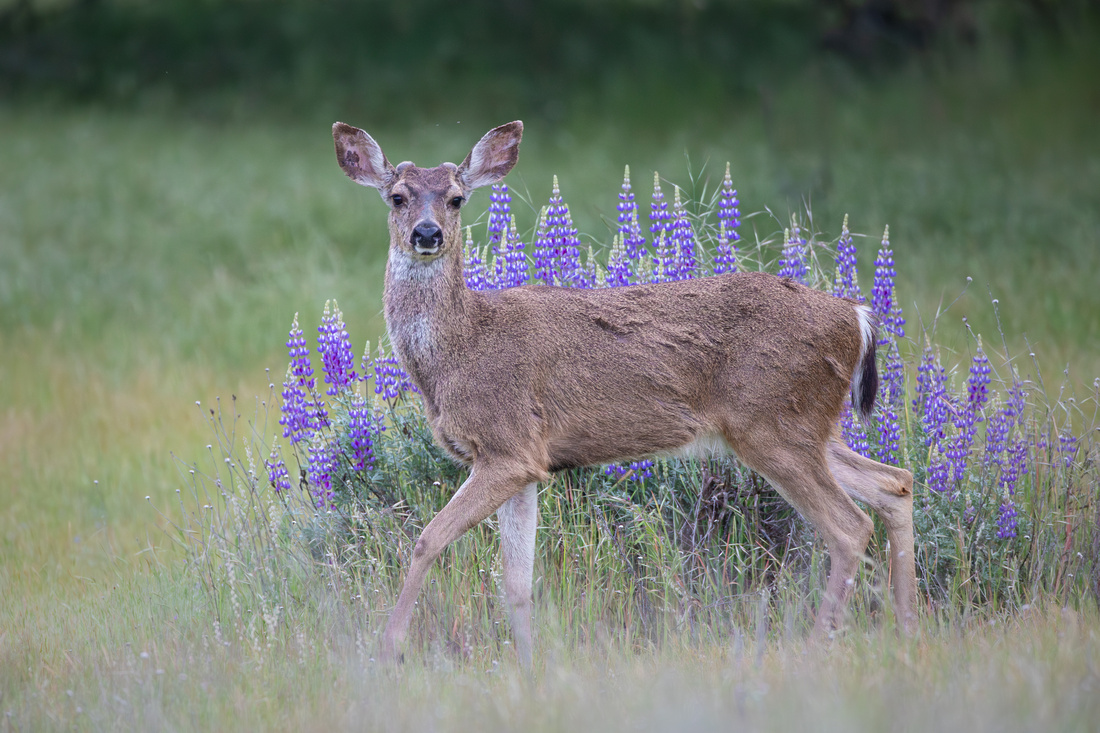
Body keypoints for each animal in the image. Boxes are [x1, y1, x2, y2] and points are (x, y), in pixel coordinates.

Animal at [330, 119, 915, 669]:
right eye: (397, 196)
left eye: (456, 197)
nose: (427, 234)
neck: (460, 347)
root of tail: (857, 316)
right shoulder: (521, 460)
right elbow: (517, 582)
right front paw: (527, 665)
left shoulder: (508, 446)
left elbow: (427, 539)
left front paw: (387, 651)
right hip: (808, 426)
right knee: (895, 484)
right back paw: (906, 629)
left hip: (772, 424)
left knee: (849, 526)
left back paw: (818, 647)